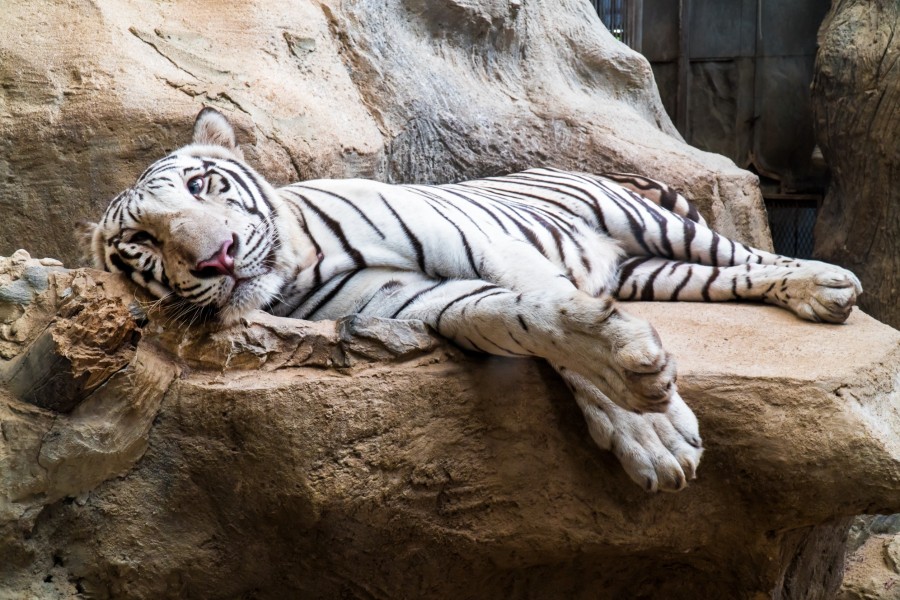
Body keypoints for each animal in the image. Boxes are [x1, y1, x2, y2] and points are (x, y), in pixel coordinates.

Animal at [88, 108, 860, 492]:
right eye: (143, 241)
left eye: (203, 186)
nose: (215, 257)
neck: (302, 263)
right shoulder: (421, 302)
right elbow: (527, 320)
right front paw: (648, 428)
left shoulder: (490, 246)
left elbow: (548, 301)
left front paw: (654, 422)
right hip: (656, 273)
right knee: (732, 277)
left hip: (650, 224)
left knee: (749, 255)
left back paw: (828, 284)